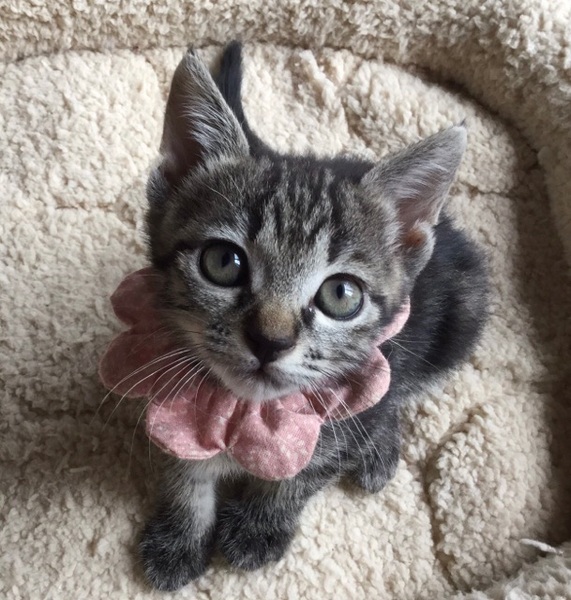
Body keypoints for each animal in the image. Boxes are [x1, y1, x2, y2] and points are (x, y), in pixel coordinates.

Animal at [138, 41, 488, 591]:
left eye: (340, 295)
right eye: (223, 262)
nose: (270, 340)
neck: (250, 412)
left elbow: (309, 467)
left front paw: (260, 525)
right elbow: (184, 466)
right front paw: (180, 533)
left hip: (459, 317)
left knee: (399, 394)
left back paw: (379, 448)